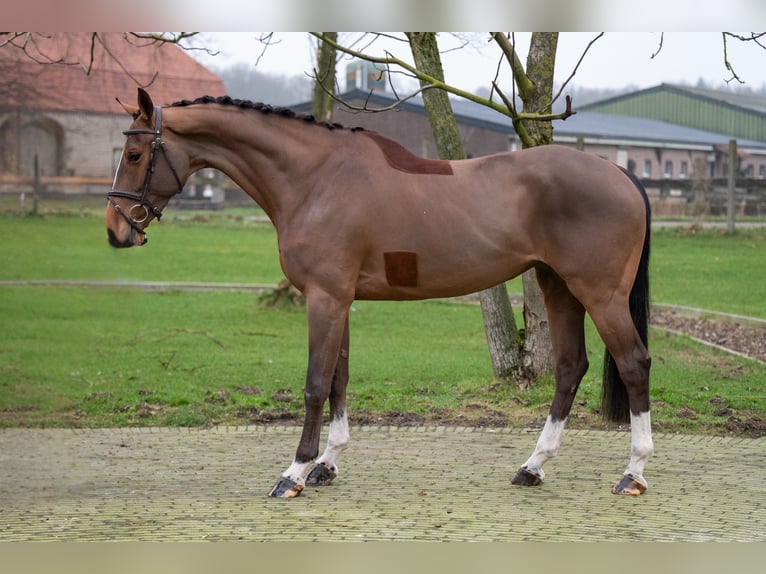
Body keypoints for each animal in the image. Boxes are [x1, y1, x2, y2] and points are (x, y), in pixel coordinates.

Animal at [106, 89, 656, 500]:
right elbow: (339, 379)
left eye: (134, 154)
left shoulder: (325, 298)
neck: (316, 178)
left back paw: (633, 473)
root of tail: (619, 171)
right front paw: (327, 464)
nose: (115, 231)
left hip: (599, 295)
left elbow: (314, 383)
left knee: (634, 363)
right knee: (569, 368)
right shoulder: (338, 299)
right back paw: (533, 466)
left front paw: (294, 473)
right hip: (557, 286)